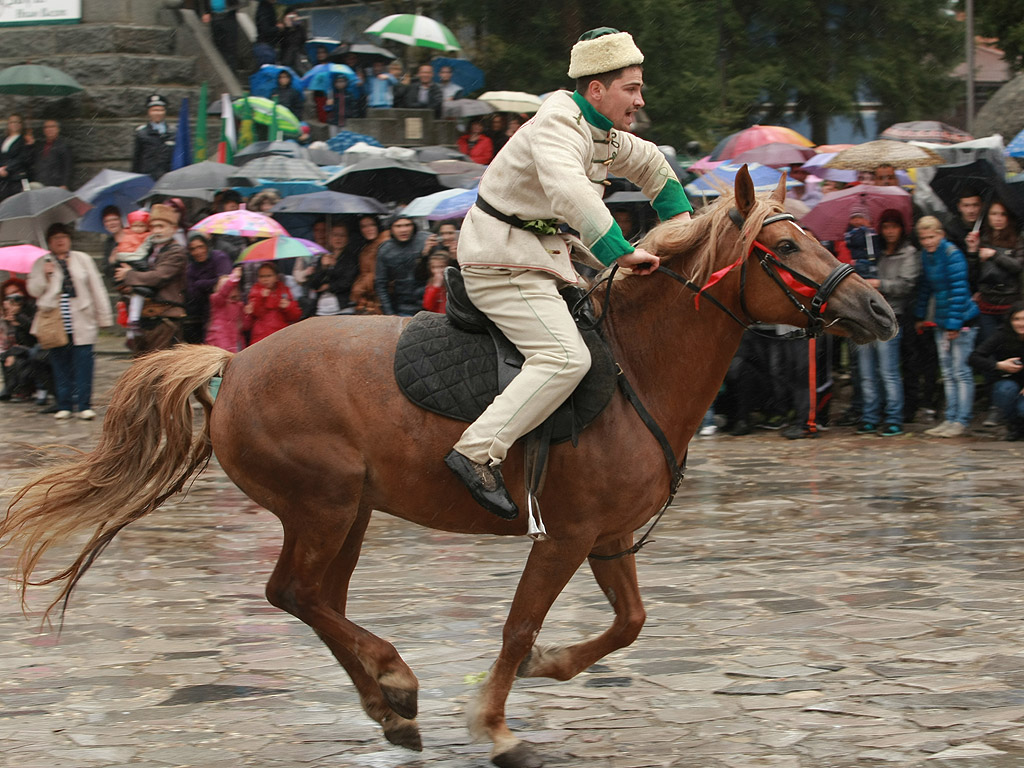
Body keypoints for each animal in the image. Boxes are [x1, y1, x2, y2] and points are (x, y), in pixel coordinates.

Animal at [0, 171, 897, 768]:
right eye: (783, 245)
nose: (880, 308)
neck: (635, 368)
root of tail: (232, 364)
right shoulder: (564, 535)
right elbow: (519, 625)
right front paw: (497, 725)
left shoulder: (606, 538)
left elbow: (628, 624)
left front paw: (549, 669)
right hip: (322, 507)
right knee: (294, 594)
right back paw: (395, 683)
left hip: (349, 514)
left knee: (318, 600)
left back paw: (389, 701)